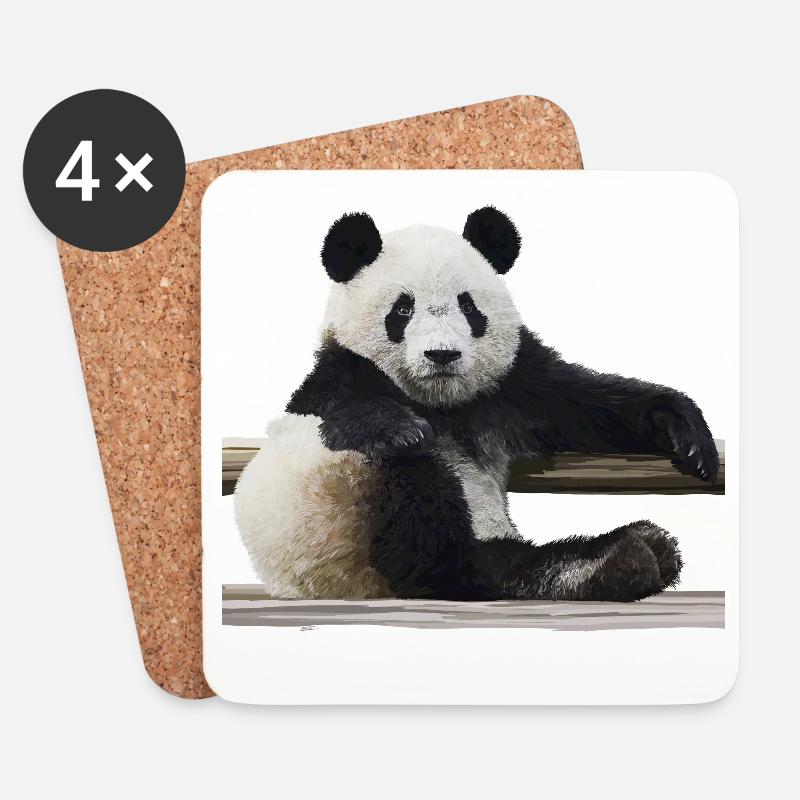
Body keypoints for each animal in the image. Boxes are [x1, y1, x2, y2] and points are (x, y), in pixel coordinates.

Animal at [234, 207, 719, 602]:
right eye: (402, 310)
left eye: (467, 306)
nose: (442, 355)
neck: (442, 404)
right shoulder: (338, 379)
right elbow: (351, 415)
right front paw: (402, 430)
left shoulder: (514, 386)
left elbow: (591, 403)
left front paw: (685, 433)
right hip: (342, 510)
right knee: (433, 537)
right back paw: (609, 561)